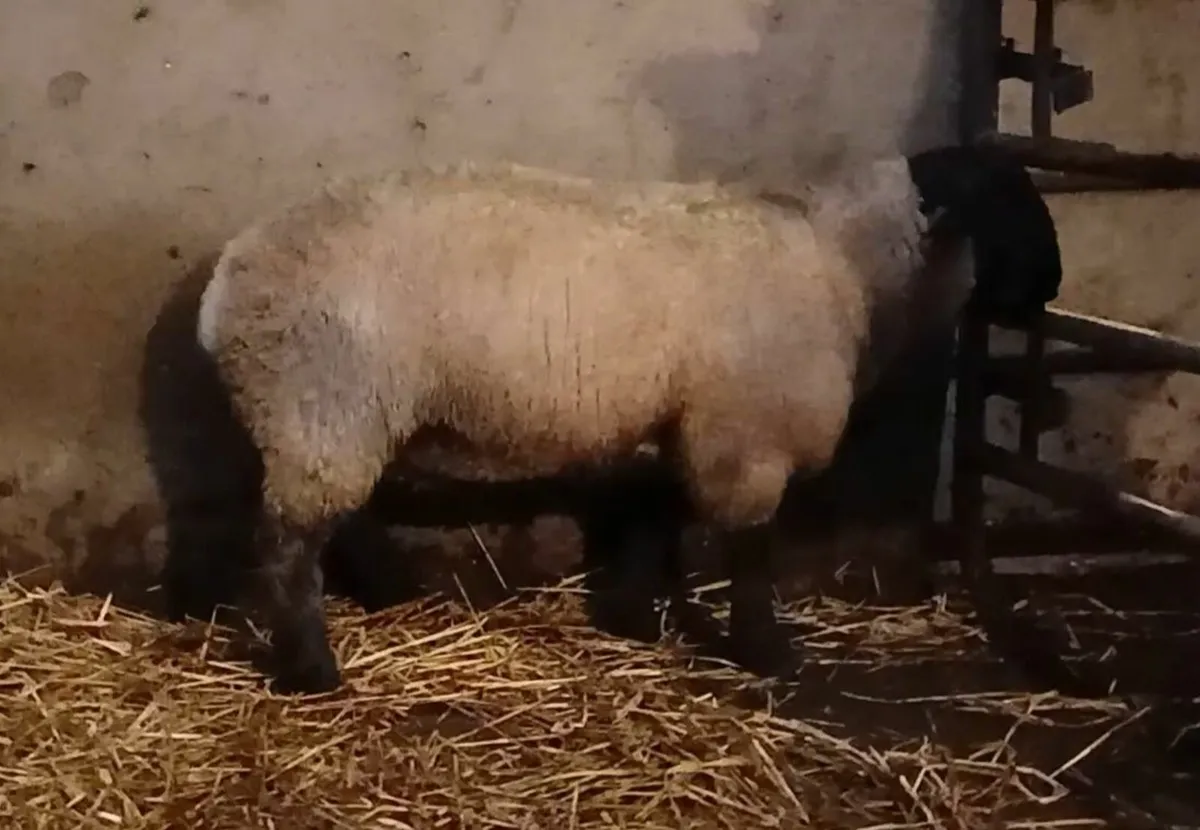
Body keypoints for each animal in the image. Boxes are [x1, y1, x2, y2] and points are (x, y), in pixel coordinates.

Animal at [196, 145, 1061, 694]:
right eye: (1007, 205)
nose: (1052, 286)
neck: (847, 263)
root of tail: (227, 283)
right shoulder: (744, 437)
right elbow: (751, 549)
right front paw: (765, 650)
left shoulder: (674, 423)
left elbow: (652, 519)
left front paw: (634, 621)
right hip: (323, 401)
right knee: (288, 543)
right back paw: (310, 670)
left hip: (341, 416)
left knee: (332, 519)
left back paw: (388, 593)